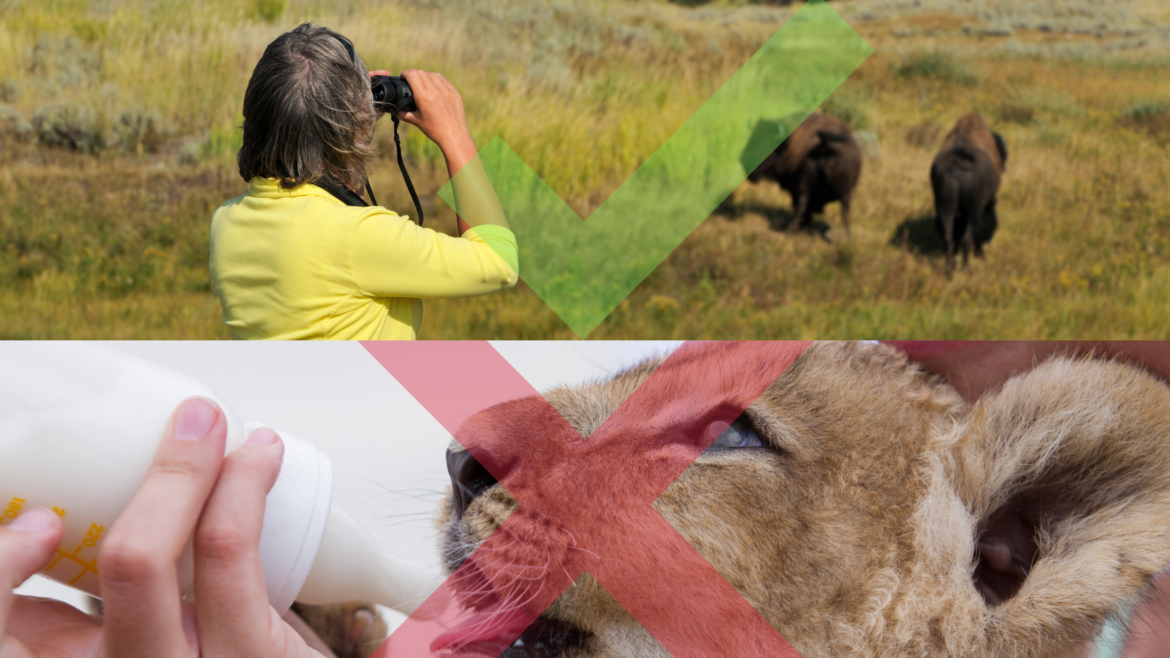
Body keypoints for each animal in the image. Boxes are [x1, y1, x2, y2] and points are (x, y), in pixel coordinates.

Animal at [931, 111, 1006, 270]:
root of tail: (956, 163)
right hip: (973, 211)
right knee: (967, 238)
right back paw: (967, 267)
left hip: (944, 206)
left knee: (949, 237)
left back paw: (950, 268)